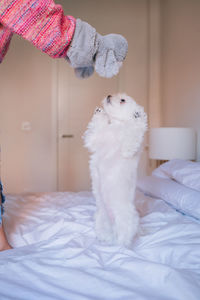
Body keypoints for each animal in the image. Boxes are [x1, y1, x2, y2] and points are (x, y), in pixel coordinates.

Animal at [83, 94, 148, 248]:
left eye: (123, 100)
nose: (108, 95)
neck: (117, 126)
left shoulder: (129, 148)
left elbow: (134, 132)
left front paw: (138, 116)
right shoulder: (95, 139)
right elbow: (95, 131)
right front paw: (99, 113)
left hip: (125, 221)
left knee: (124, 238)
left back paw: (121, 247)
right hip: (101, 219)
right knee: (107, 235)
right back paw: (104, 241)